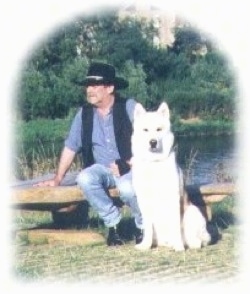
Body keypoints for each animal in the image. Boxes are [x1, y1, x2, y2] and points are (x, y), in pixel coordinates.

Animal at [132, 101, 210, 250]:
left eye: (158, 129)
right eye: (145, 130)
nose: (153, 142)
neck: (154, 163)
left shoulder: (172, 199)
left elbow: (175, 226)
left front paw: (179, 247)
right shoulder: (144, 201)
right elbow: (147, 228)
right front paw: (145, 245)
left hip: (193, 212)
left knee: (197, 241)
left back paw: (185, 243)